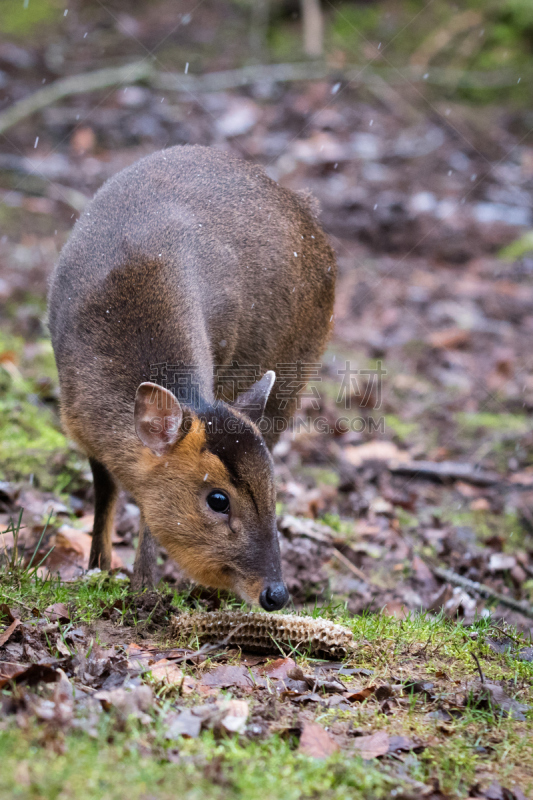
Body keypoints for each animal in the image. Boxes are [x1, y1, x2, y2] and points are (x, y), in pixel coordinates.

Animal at [46, 144, 336, 608]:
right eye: (218, 499)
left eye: (273, 489)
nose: (276, 594)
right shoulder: (81, 428)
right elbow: (106, 493)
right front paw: (100, 570)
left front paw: (143, 590)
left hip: (296, 373)